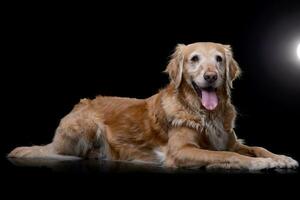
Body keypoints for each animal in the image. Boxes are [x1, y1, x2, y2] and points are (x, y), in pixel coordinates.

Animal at [8, 42, 298, 170]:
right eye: (194, 59)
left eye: (218, 59)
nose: (211, 76)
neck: (205, 114)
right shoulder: (181, 151)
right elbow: (227, 156)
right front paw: (259, 164)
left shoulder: (230, 140)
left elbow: (256, 147)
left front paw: (281, 157)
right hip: (86, 125)